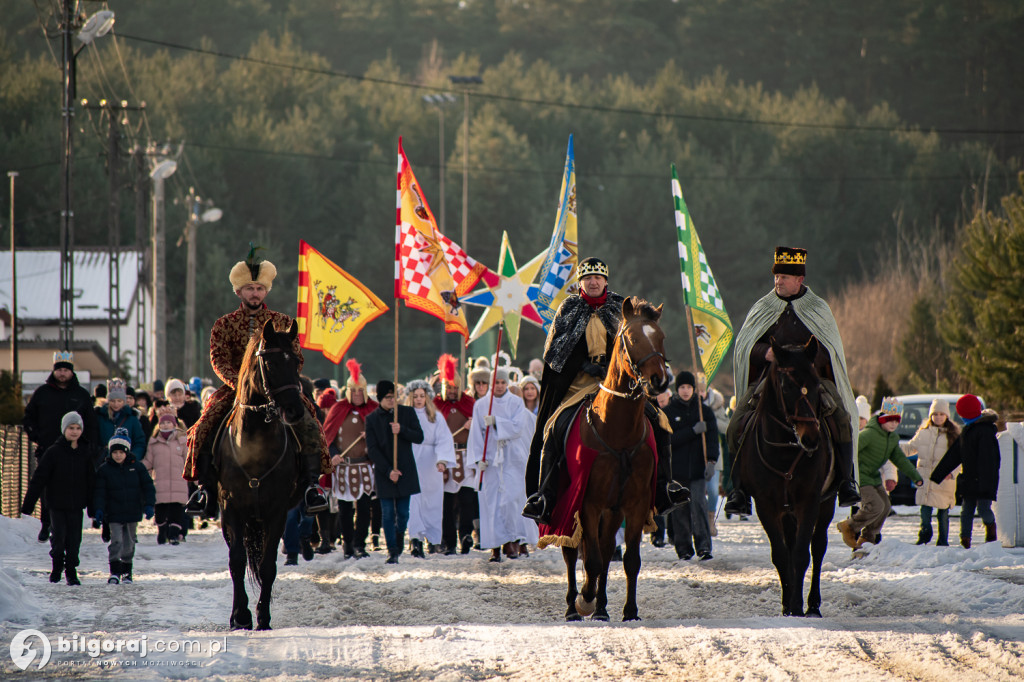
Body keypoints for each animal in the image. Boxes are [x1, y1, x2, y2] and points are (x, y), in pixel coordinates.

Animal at [561, 294, 671, 618]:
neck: (616, 431)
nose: (659, 381)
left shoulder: (635, 504)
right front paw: (585, 598)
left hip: (612, 511)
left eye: (661, 337)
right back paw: (574, 607)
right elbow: (591, 560)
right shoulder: (588, 503)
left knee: (607, 547)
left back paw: (601, 607)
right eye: (632, 339)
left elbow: (629, 560)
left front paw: (629, 610)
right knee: (572, 551)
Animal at [741, 335, 835, 614]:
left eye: (815, 383)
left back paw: (813, 605)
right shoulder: (766, 505)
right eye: (786, 386)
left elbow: (803, 554)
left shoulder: (809, 500)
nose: (811, 438)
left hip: (826, 503)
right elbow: (782, 555)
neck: (784, 450)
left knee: (818, 547)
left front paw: (797, 605)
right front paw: (787, 606)